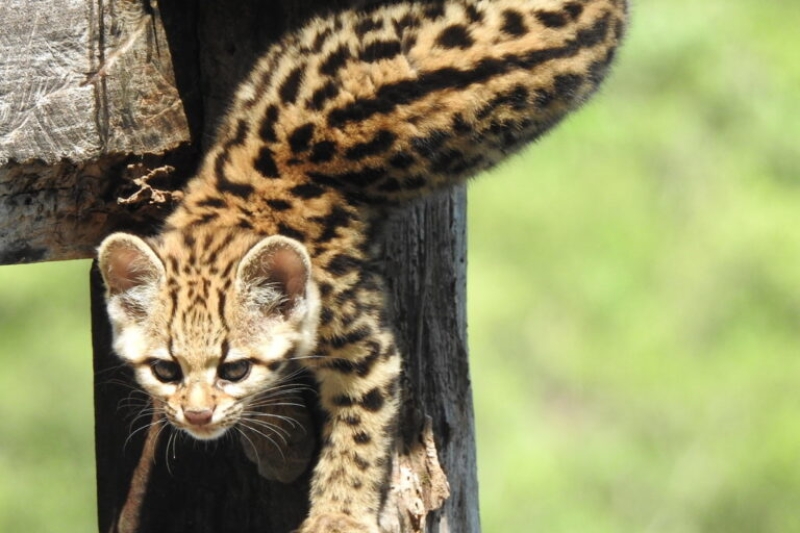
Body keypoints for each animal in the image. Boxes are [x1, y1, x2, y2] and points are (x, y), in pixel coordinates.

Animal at [98, 2, 624, 528]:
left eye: (235, 369)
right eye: (165, 370)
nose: (198, 416)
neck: (233, 212)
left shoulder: (368, 346)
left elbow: (360, 434)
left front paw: (337, 516)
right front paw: (283, 447)